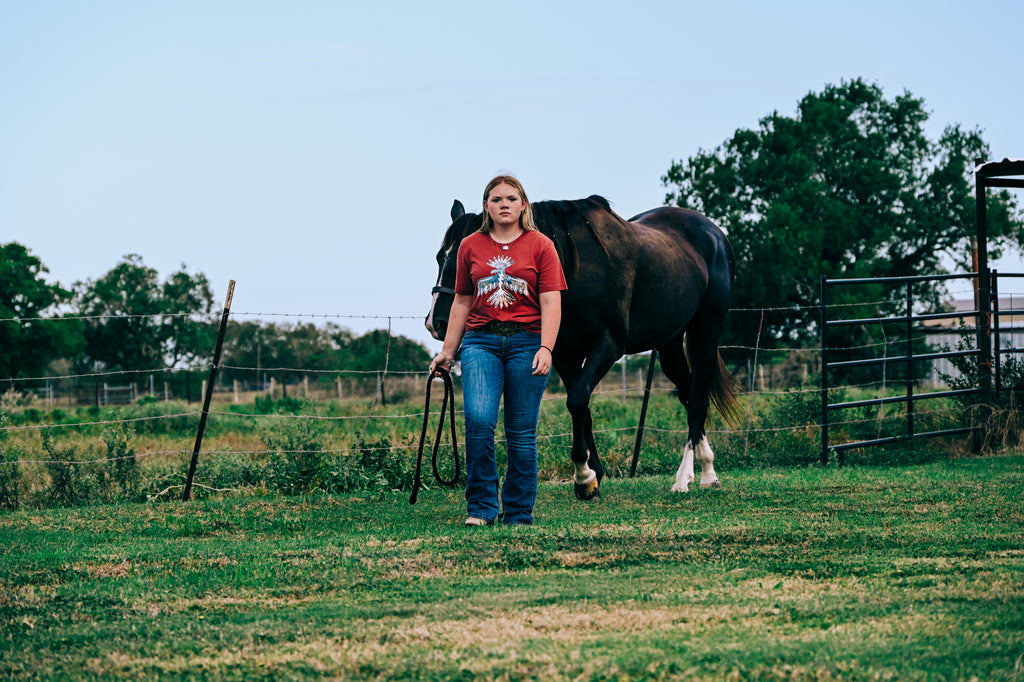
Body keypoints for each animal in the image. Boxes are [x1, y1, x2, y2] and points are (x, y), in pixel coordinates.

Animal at [425, 195, 739, 499]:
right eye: (440, 257)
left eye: (465, 262)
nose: (436, 323)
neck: (573, 268)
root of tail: (714, 233)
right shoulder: (564, 353)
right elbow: (582, 408)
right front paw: (593, 476)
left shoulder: (608, 345)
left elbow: (577, 400)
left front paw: (583, 476)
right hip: (669, 341)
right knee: (688, 393)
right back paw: (706, 469)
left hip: (705, 330)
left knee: (697, 398)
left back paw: (687, 478)